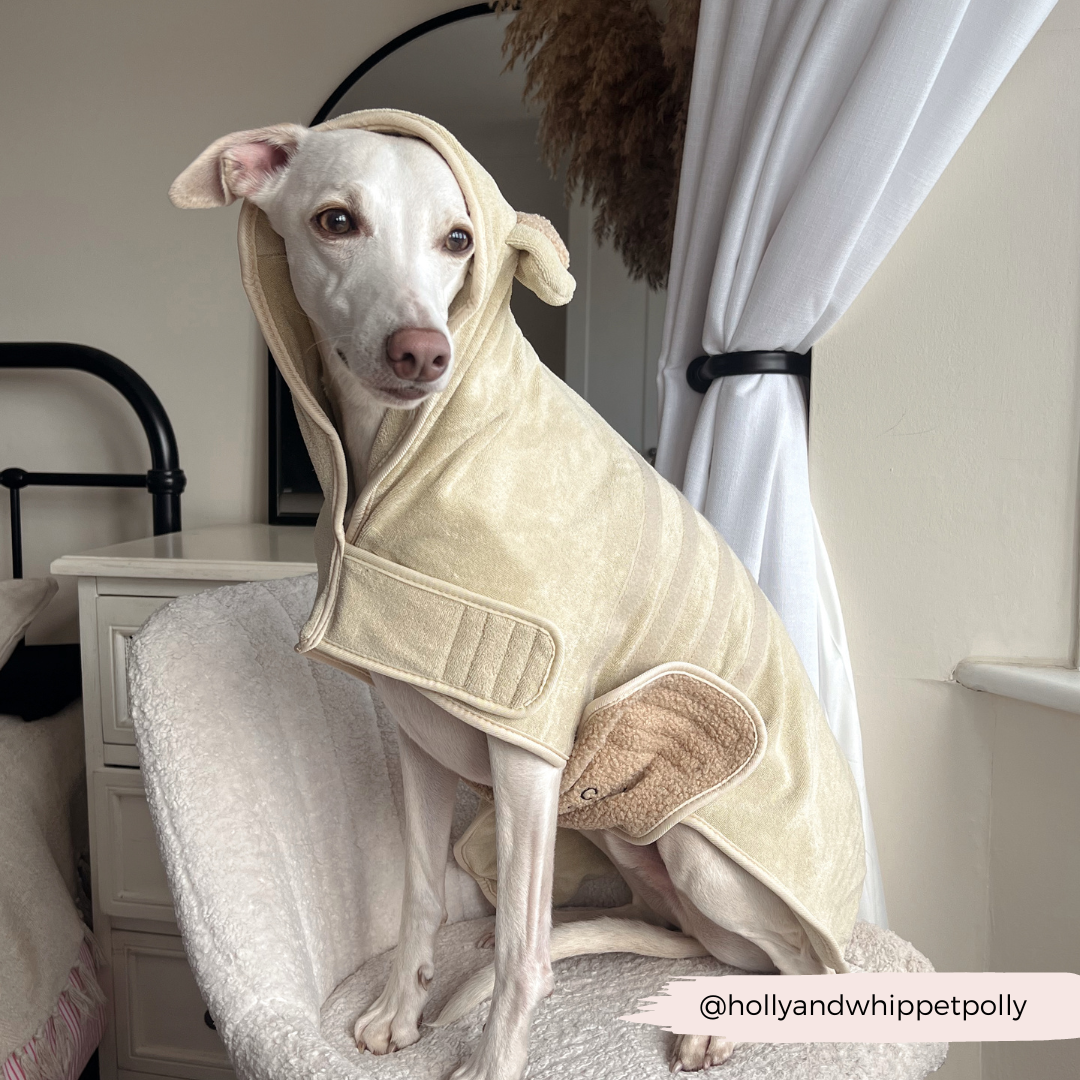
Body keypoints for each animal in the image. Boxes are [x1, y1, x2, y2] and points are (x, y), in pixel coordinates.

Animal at [168, 124, 829, 1080]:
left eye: (459, 239)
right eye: (336, 220)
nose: (424, 352)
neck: (395, 458)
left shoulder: (527, 758)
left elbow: (522, 952)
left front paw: (492, 1060)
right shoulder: (419, 741)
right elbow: (418, 894)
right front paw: (399, 1010)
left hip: (705, 849)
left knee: (807, 964)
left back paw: (724, 1023)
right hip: (641, 855)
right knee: (690, 937)